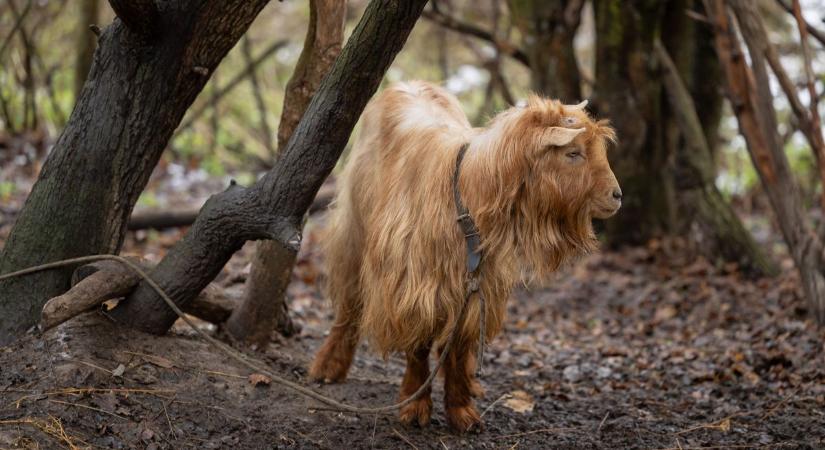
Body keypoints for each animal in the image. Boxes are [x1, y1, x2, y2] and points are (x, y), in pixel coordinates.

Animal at [308, 81, 616, 432]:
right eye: (573, 153)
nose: (617, 195)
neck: (466, 195)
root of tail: (406, 83)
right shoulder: (414, 286)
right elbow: (419, 346)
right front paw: (414, 406)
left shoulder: (473, 285)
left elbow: (456, 347)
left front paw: (461, 411)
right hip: (353, 230)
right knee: (349, 302)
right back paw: (328, 366)